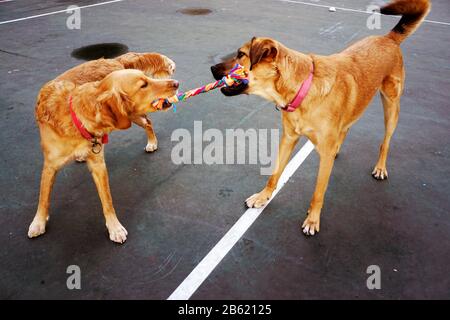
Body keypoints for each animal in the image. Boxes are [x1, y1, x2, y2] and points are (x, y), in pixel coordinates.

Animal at [27, 68, 179, 242]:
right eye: (143, 85)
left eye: (147, 78)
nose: (176, 83)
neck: (77, 119)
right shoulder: (50, 166)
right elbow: (43, 197)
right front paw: (38, 222)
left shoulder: (98, 165)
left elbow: (107, 200)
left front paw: (114, 227)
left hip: (132, 116)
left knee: (148, 122)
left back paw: (152, 142)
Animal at [211, 0, 428, 235]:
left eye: (241, 54)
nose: (212, 68)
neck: (302, 88)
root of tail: (388, 38)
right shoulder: (288, 138)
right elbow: (274, 174)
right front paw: (263, 196)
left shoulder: (322, 154)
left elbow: (318, 192)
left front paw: (313, 220)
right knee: (347, 126)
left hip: (391, 106)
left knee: (385, 141)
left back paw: (380, 167)